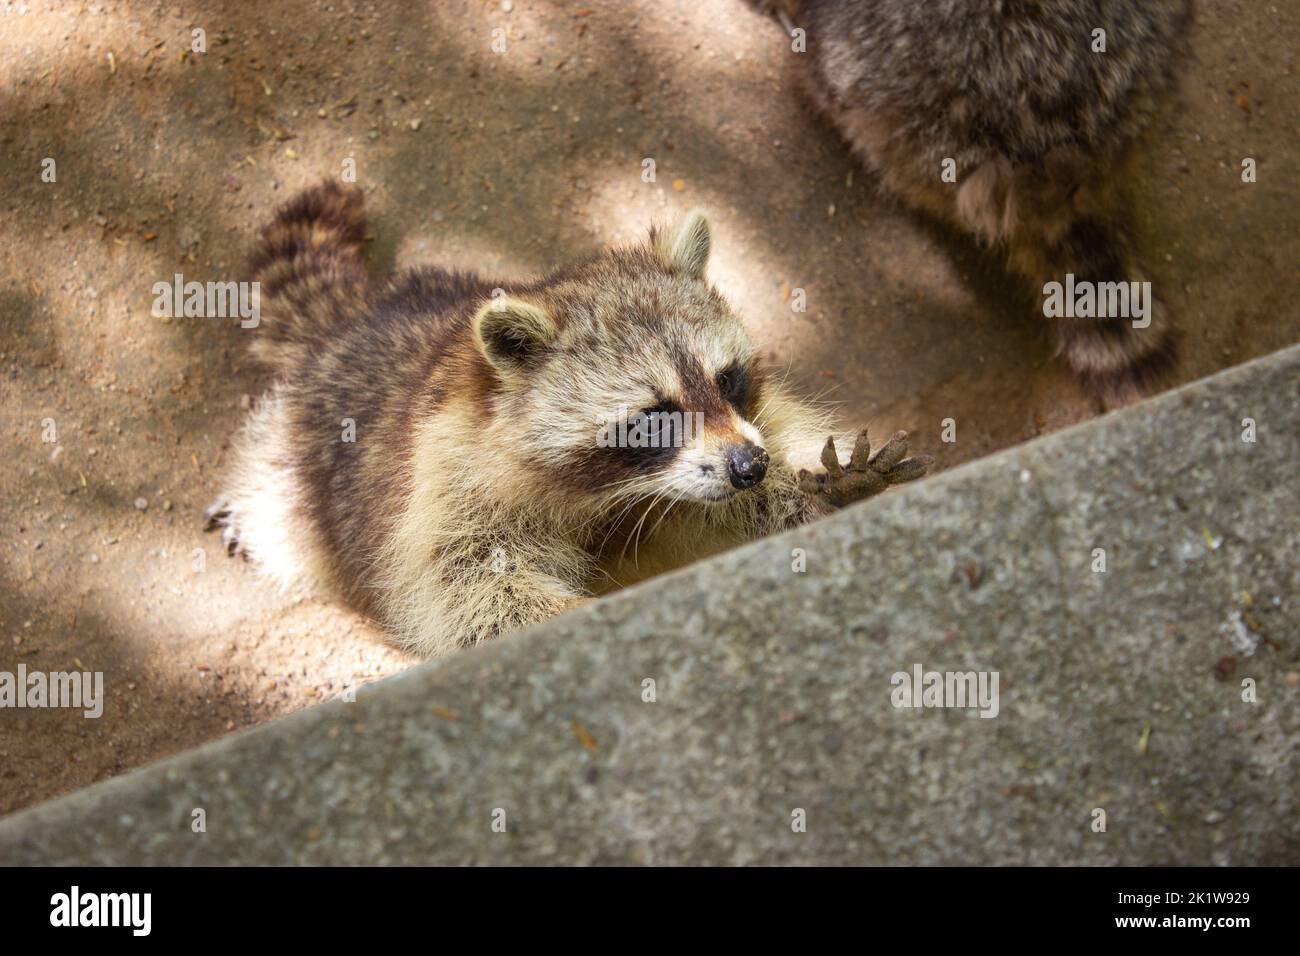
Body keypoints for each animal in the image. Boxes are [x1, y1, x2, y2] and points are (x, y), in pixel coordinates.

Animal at [205, 181, 931, 658]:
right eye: (652, 419)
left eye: (727, 379)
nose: (750, 468)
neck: (616, 494)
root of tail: (357, 317)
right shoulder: (444, 488)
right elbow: (473, 598)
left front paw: (816, 488)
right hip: (307, 463)